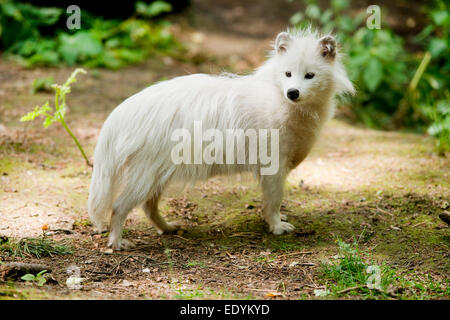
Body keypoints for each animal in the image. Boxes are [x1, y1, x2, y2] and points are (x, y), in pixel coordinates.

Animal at [88, 29, 356, 250]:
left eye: (310, 75)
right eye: (288, 74)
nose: (293, 92)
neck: (280, 102)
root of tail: (121, 113)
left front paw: (277, 221)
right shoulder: (274, 168)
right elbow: (274, 201)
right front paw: (277, 227)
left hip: (156, 175)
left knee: (148, 207)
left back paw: (168, 228)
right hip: (145, 176)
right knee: (119, 207)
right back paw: (117, 243)